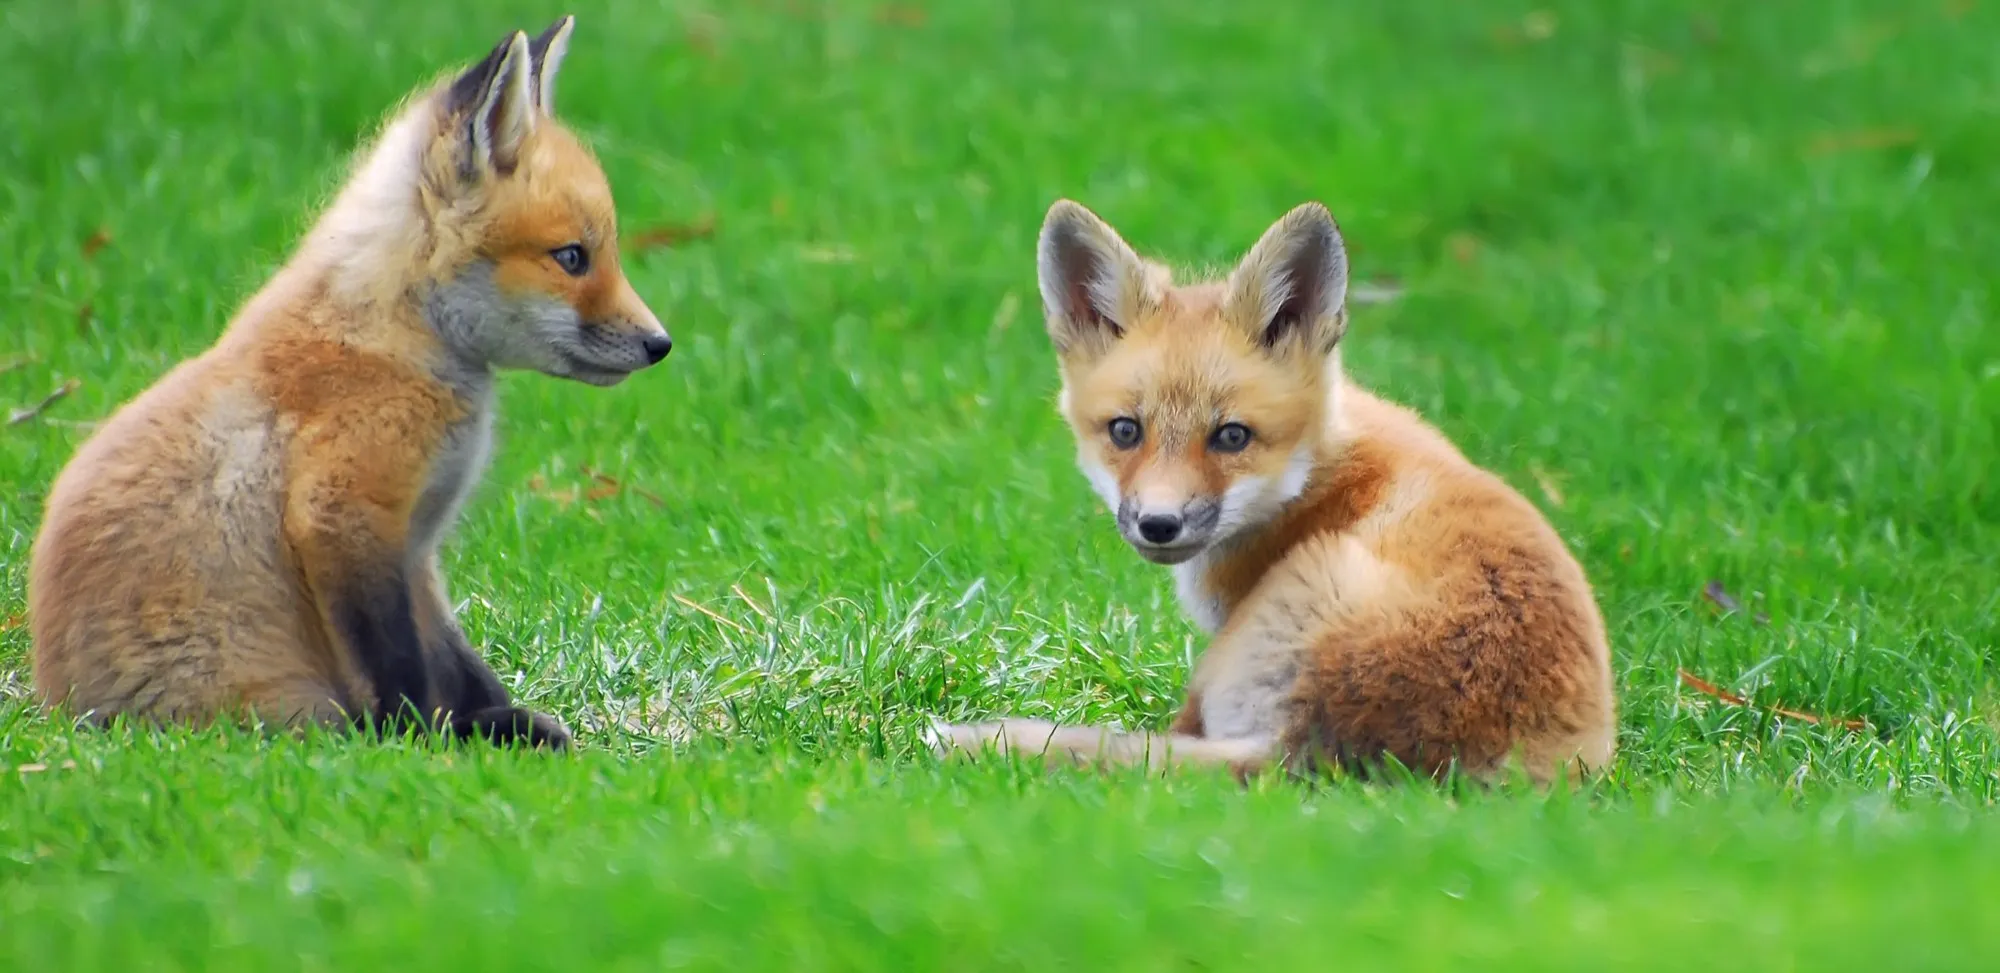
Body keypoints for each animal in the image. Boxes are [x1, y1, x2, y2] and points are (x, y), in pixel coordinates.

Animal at [27, 16, 671, 750]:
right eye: (572, 257)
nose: (660, 344)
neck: (394, 337)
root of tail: (64, 710)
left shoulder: (414, 549)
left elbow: (457, 660)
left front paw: (492, 718)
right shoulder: (343, 514)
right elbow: (397, 665)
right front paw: (419, 740)